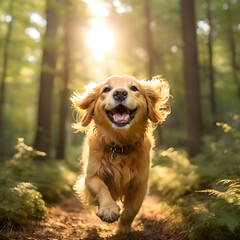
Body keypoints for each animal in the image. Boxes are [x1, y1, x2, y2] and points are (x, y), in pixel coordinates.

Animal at [71, 74, 169, 232]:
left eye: (134, 88)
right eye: (106, 89)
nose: (120, 93)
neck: (119, 145)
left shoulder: (140, 183)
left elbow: (132, 209)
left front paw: (124, 228)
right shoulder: (90, 177)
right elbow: (102, 187)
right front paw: (108, 209)